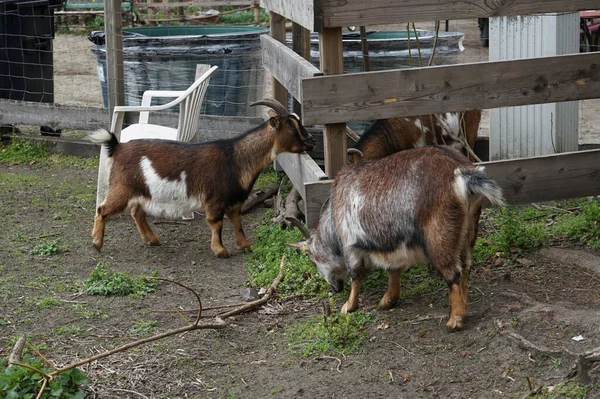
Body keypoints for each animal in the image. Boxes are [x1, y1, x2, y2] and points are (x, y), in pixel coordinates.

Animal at [91, 98, 316, 258]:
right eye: (291, 127)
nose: (311, 141)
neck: (236, 157)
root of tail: (119, 147)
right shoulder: (215, 199)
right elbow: (216, 223)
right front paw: (220, 250)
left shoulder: (234, 201)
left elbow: (238, 223)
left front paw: (246, 246)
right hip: (122, 187)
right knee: (102, 209)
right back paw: (97, 244)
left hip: (141, 191)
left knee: (137, 212)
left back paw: (152, 239)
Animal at [292, 147, 504, 332]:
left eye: (313, 259)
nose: (335, 288)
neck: (333, 215)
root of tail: (461, 172)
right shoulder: (392, 245)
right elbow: (394, 270)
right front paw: (388, 300)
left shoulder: (350, 245)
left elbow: (356, 275)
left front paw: (349, 306)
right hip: (468, 232)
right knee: (466, 268)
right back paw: (464, 307)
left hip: (438, 238)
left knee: (454, 273)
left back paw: (455, 320)